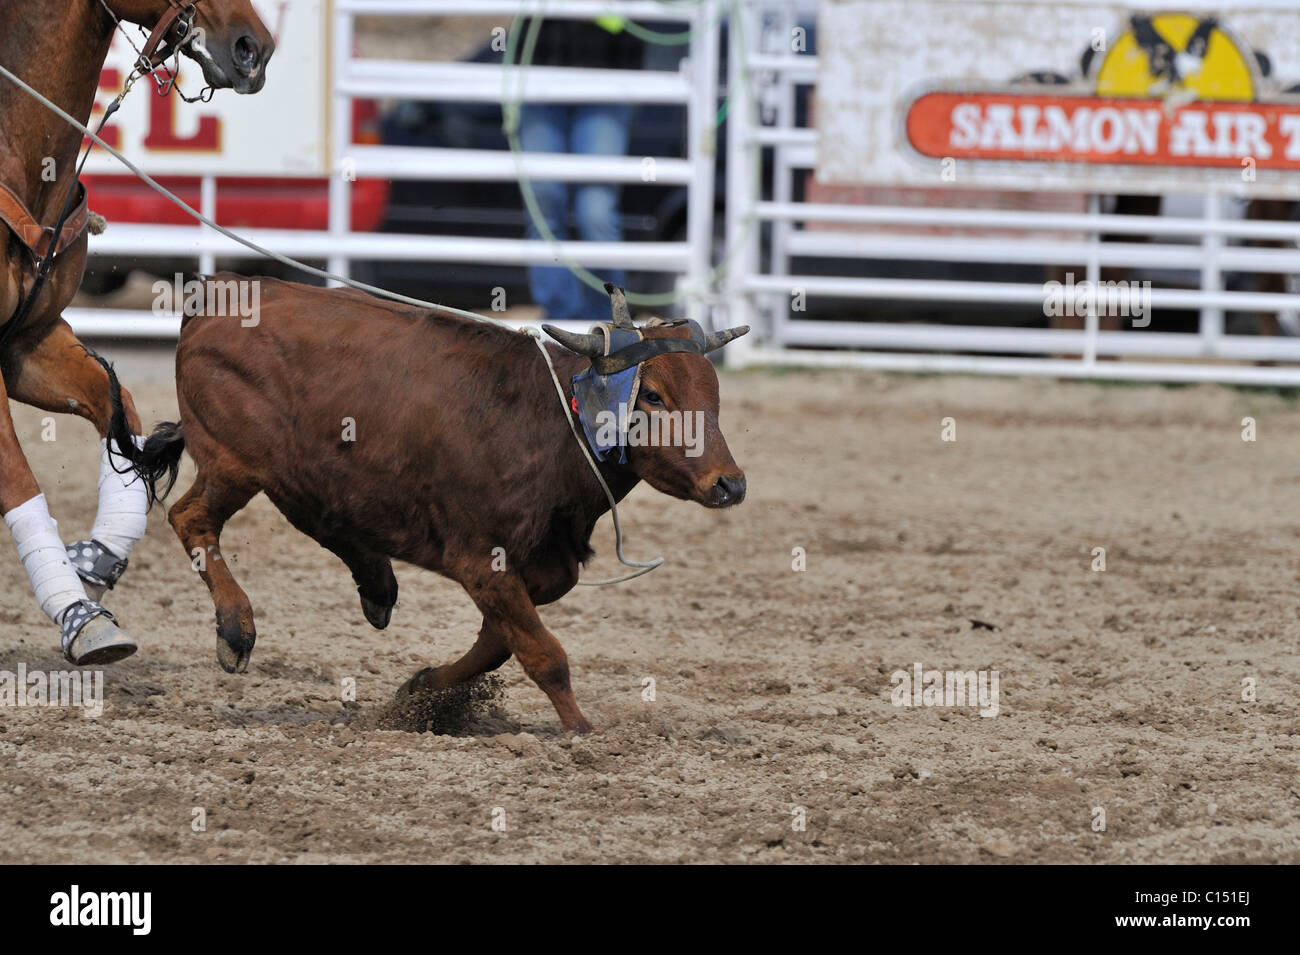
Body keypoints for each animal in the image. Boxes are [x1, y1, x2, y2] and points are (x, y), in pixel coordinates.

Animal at [0, 0, 273, 664]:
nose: (255, 49)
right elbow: (18, 480)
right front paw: (81, 619)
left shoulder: (27, 344)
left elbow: (118, 412)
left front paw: (94, 563)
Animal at [104, 278, 748, 733]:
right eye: (654, 396)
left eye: (714, 396)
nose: (730, 484)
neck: (550, 422)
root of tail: (213, 299)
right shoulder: (481, 561)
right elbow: (544, 653)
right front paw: (582, 731)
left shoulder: (533, 572)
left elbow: (498, 644)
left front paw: (420, 691)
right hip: (237, 464)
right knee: (192, 518)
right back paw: (237, 630)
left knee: (321, 516)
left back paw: (376, 584)